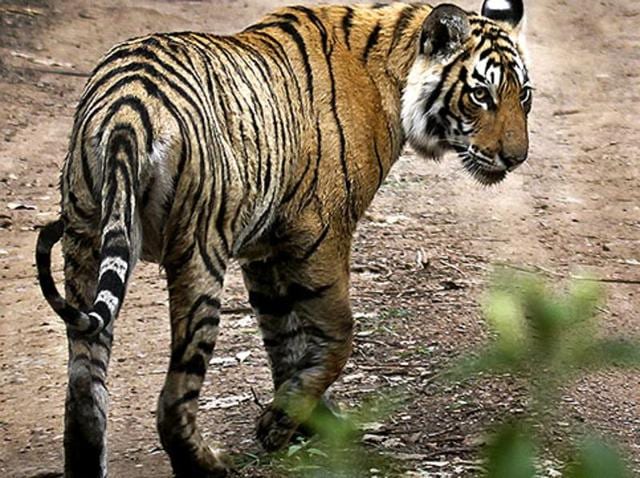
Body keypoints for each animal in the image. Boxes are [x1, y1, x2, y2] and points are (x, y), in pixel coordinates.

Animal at [35, 0, 531, 476]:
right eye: (480, 95)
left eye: (522, 94)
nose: (516, 158)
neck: (394, 66)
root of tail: (127, 109)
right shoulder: (320, 234)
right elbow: (337, 333)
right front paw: (282, 425)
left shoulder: (264, 248)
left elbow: (283, 337)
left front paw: (301, 419)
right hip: (198, 255)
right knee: (173, 398)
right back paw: (207, 465)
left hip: (85, 241)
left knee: (83, 389)